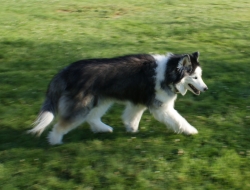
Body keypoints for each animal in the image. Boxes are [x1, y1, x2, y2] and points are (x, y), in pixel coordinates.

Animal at [27, 51, 207, 145]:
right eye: (195, 77)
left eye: (200, 76)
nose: (205, 89)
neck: (168, 72)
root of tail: (66, 70)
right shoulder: (162, 107)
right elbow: (178, 120)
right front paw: (191, 130)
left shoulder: (137, 101)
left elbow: (133, 117)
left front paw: (131, 128)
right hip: (82, 105)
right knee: (62, 124)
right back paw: (55, 140)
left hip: (101, 100)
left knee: (92, 118)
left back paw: (103, 129)